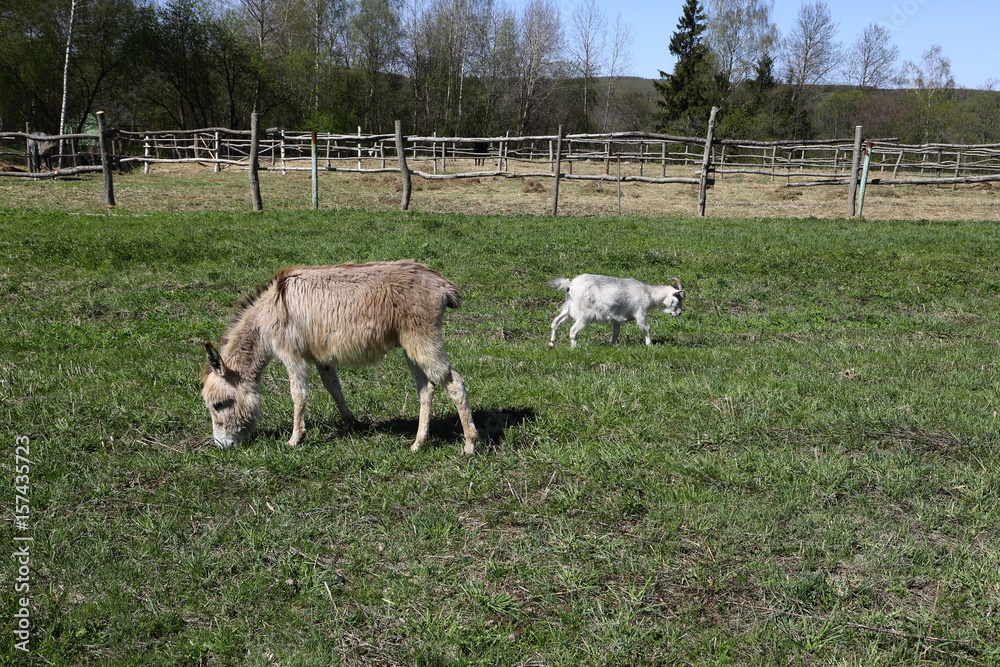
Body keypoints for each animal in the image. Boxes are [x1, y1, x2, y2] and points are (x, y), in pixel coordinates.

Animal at [201, 261, 478, 454]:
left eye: (219, 405)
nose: (221, 446)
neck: (267, 313)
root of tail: (441, 283)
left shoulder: (293, 356)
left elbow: (298, 395)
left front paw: (295, 439)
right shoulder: (320, 357)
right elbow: (333, 387)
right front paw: (350, 422)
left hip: (422, 339)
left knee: (454, 382)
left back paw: (470, 445)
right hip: (411, 345)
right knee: (426, 388)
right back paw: (419, 443)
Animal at [548, 273, 685, 348]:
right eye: (678, 299)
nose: (679, 313)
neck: (648, 294)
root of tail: (570, 285)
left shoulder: (616, 319)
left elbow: (616, 332)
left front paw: (612, 344)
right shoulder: (640, 313)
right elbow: (646, 328)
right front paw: (649, 344)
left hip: (568, 309)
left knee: (555, 323)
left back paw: (552, 343)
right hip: (584, 315)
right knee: (573, 330)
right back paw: (575, 347)